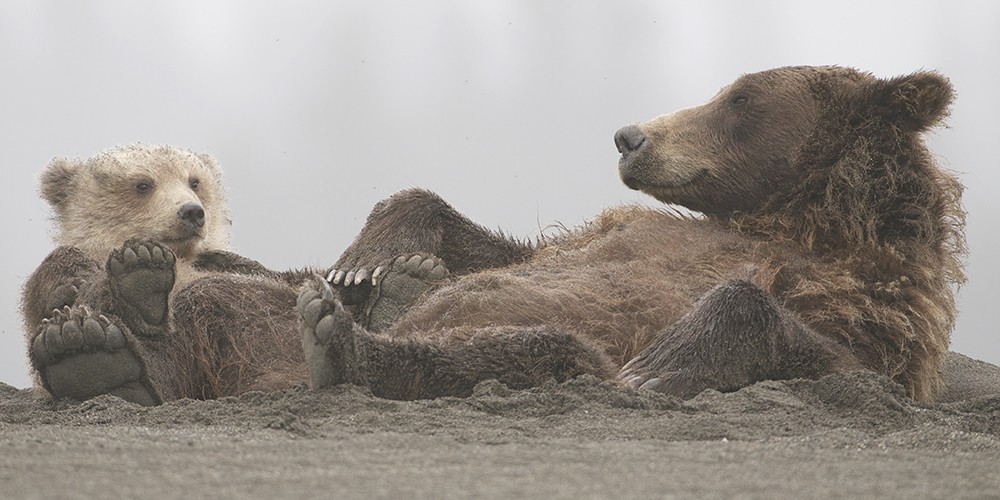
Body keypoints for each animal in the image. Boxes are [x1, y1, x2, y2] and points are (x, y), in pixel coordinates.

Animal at [297, 65, 965, 402]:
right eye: (726, 89)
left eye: (741, 99)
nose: (630, 137)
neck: (794, 219)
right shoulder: (610, 229)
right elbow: (518, 249)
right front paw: (367, 258)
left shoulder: (869, 302)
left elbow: (840, 359)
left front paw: (657, 365)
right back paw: (388, 294)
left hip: (573, 356)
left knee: (542, 350)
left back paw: (342, 345)